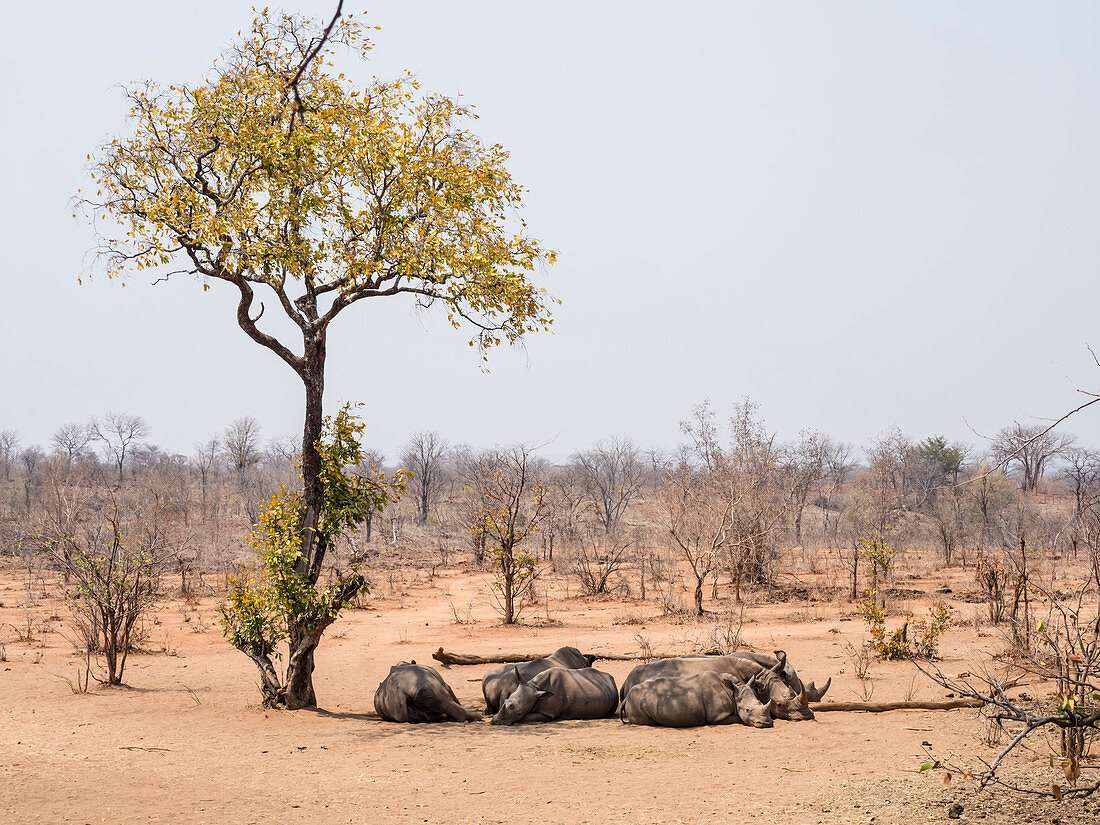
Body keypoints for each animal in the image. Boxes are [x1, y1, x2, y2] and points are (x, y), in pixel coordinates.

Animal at [490, 668, 620, 726]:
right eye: (506, 700)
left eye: (518, 712)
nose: (495, 721)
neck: (536, 688)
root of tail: (611, 678)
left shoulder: (548, 713)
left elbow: (525, 717)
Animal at [620, 673, 774, 730]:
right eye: (747, 710)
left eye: (761, 703)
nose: (767, 723)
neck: (734, 693)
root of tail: (627, 696)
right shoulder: (717, 717)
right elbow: (739, 718)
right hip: (637, 701)